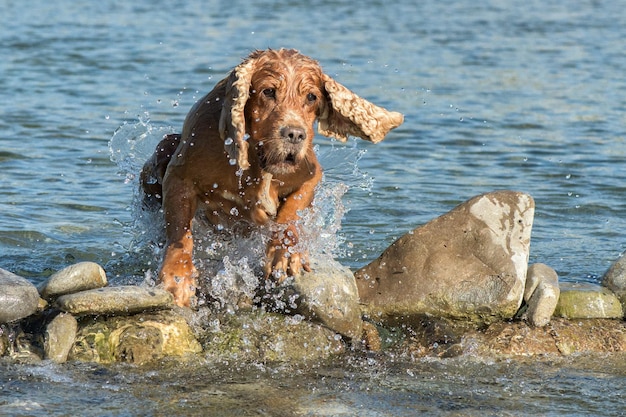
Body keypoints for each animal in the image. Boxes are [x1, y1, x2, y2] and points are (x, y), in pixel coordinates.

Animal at [140, 50, 402, 308]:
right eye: (268, 91)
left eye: (311, 97)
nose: (295, 134)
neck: (256, 161)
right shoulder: (180, 174)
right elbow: (180, 232)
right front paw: (177, 277)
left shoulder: (311, 174)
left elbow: (292, 211)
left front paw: (285, 251)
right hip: (164, 147)